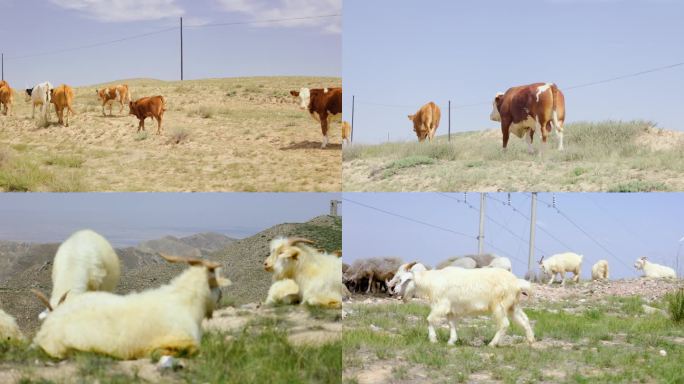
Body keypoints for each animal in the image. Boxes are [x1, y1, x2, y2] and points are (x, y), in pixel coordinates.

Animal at [396, 268, 536, 344]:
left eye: (404, 280)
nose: (395, 291)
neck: (432, 282)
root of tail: (516, 283)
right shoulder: (451, 310)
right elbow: (451, 324)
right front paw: (451, 341)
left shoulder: (441, 305)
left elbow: (429, 319)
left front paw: (433, 340)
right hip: (513, 305)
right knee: (524, 320)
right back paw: (530, 340)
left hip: (499, 305)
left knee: (504, 324)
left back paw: (492, 343)